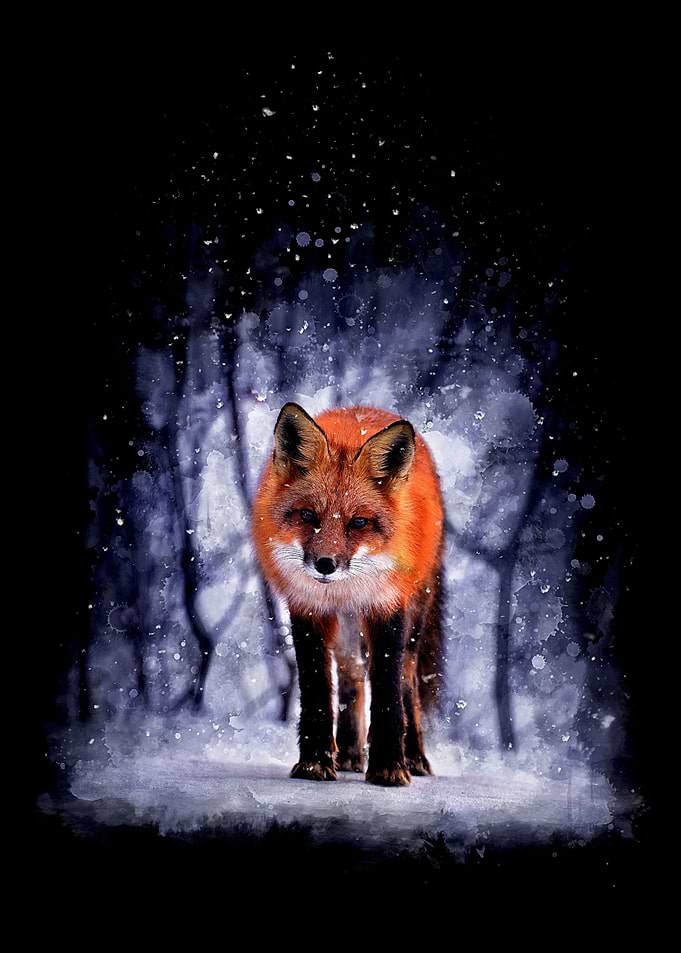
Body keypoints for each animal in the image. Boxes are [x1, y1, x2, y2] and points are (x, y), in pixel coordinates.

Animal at [251, 402, 445, 787]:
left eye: (358, 522)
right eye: (308, 515)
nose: (325, 564)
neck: (343, 589)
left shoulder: (387, 606)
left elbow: (387, 689)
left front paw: (389, 767)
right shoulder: (308, 608)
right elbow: (317, 690)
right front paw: (314, 763)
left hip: (414, 617)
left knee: (407, 681)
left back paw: (414, 757)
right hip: (345, 630)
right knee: (351, 676)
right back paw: (350, 753)